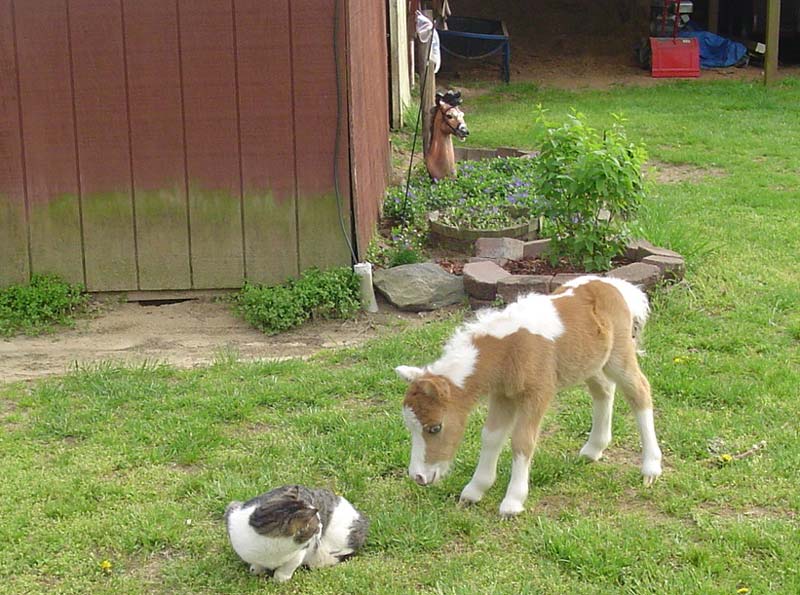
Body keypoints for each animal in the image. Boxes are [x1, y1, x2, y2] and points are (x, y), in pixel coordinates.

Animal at [225, 484, 369, 583]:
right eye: (316, 523)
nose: (321, 526)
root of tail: (362, 517)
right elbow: (257, 565)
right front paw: (256, 570)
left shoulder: (302, 549)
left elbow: (289, 566)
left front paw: (279, 579)